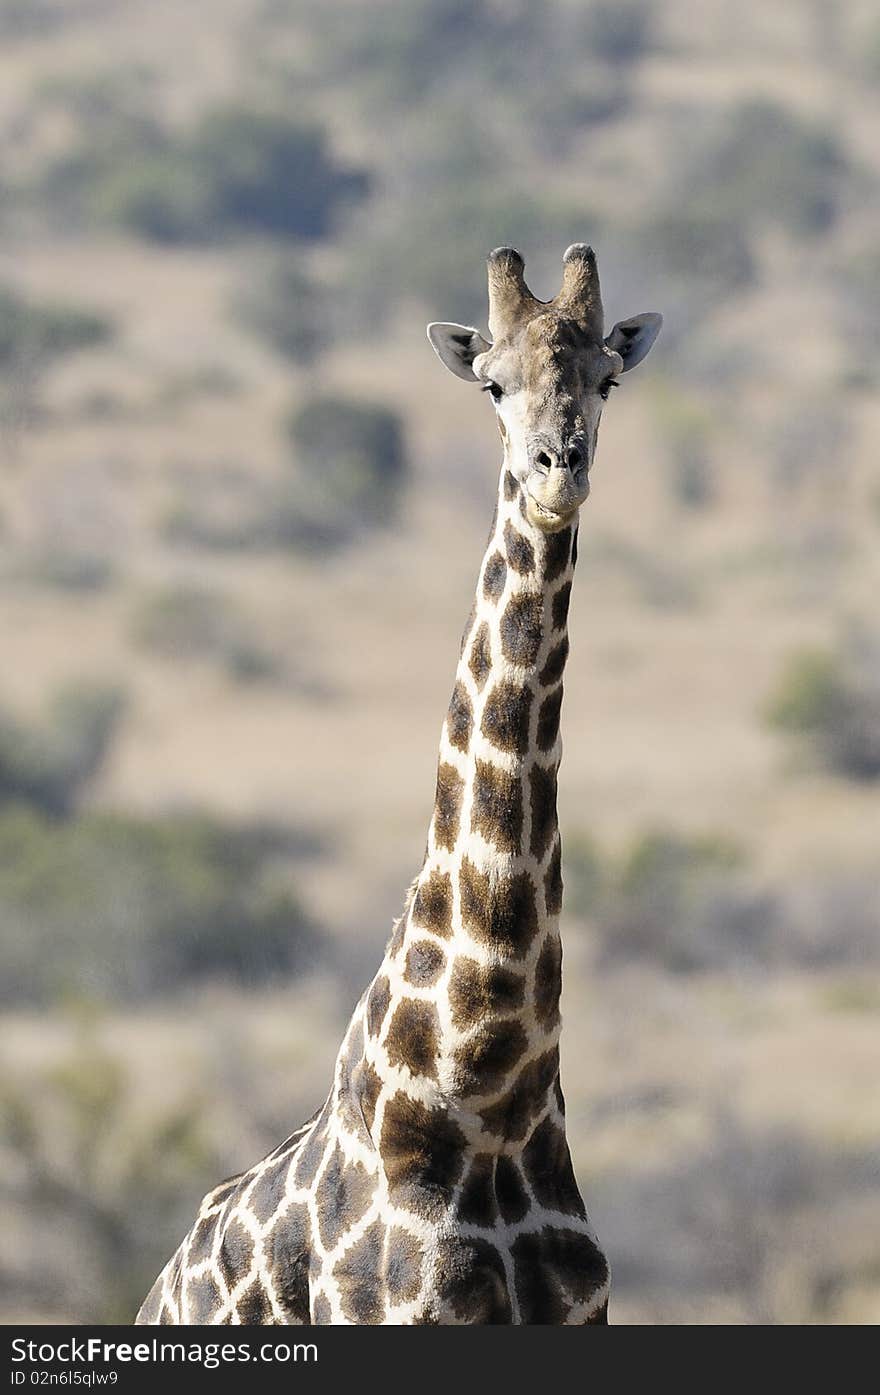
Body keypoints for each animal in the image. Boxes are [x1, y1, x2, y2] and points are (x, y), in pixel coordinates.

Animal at [135, 245, 661, 1322]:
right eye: (491, 383)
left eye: (606, 379)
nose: (558, 470)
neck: (486, 1090)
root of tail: (159, 1288)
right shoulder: (399, 1308)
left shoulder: (581, 1309)